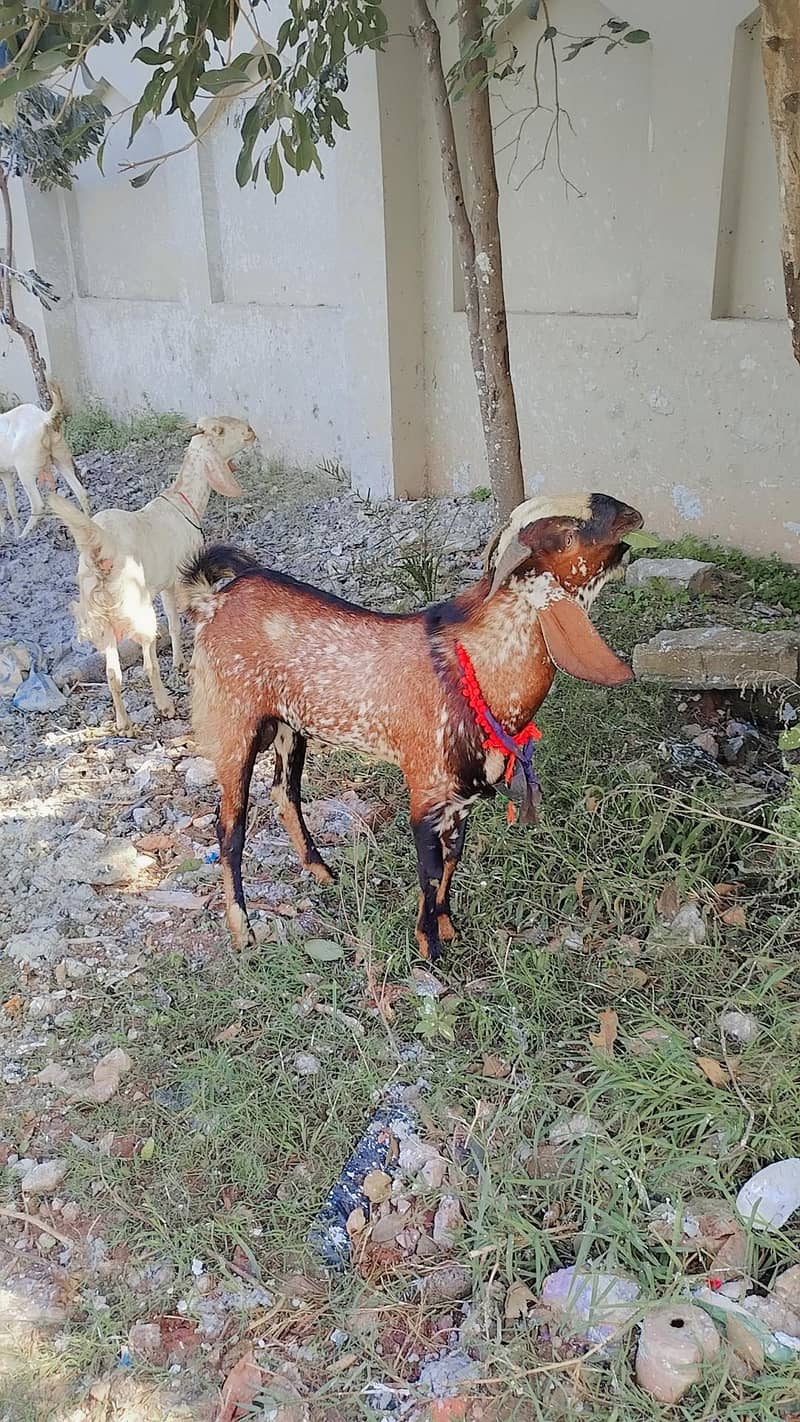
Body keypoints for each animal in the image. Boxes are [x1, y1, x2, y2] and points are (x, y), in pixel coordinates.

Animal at [0, 383, 89, 538]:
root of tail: (45, 418)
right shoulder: (6, 473)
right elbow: (12, 506)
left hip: (25, 470)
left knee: (38, 504)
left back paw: (23, 536)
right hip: (61, 458)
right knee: (81, 492)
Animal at [49, 416, 256, 732]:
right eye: (220, 430)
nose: (250, 432)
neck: (182, 502)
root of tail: (99, 552)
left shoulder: (164, 585)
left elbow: (172, 623)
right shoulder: (181, 579)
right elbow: (178, 621)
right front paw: (185, 663)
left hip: (102, 621)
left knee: (112, 673)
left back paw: (123, 722)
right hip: (137, 608)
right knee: (148, 662)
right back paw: (165, 705)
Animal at [182, 493, 643, 960]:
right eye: (567, 535)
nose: (631, 515)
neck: (473, 664)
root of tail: (211, 602)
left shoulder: (462, 796)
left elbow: (453, 859)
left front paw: (449, 926)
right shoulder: (427, 789)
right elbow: (431, 868)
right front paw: (430, 947)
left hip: (289, 727)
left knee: (284, 794)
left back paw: (324, 872)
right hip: (234, 727)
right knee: (230, 827)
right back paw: (242, 931)